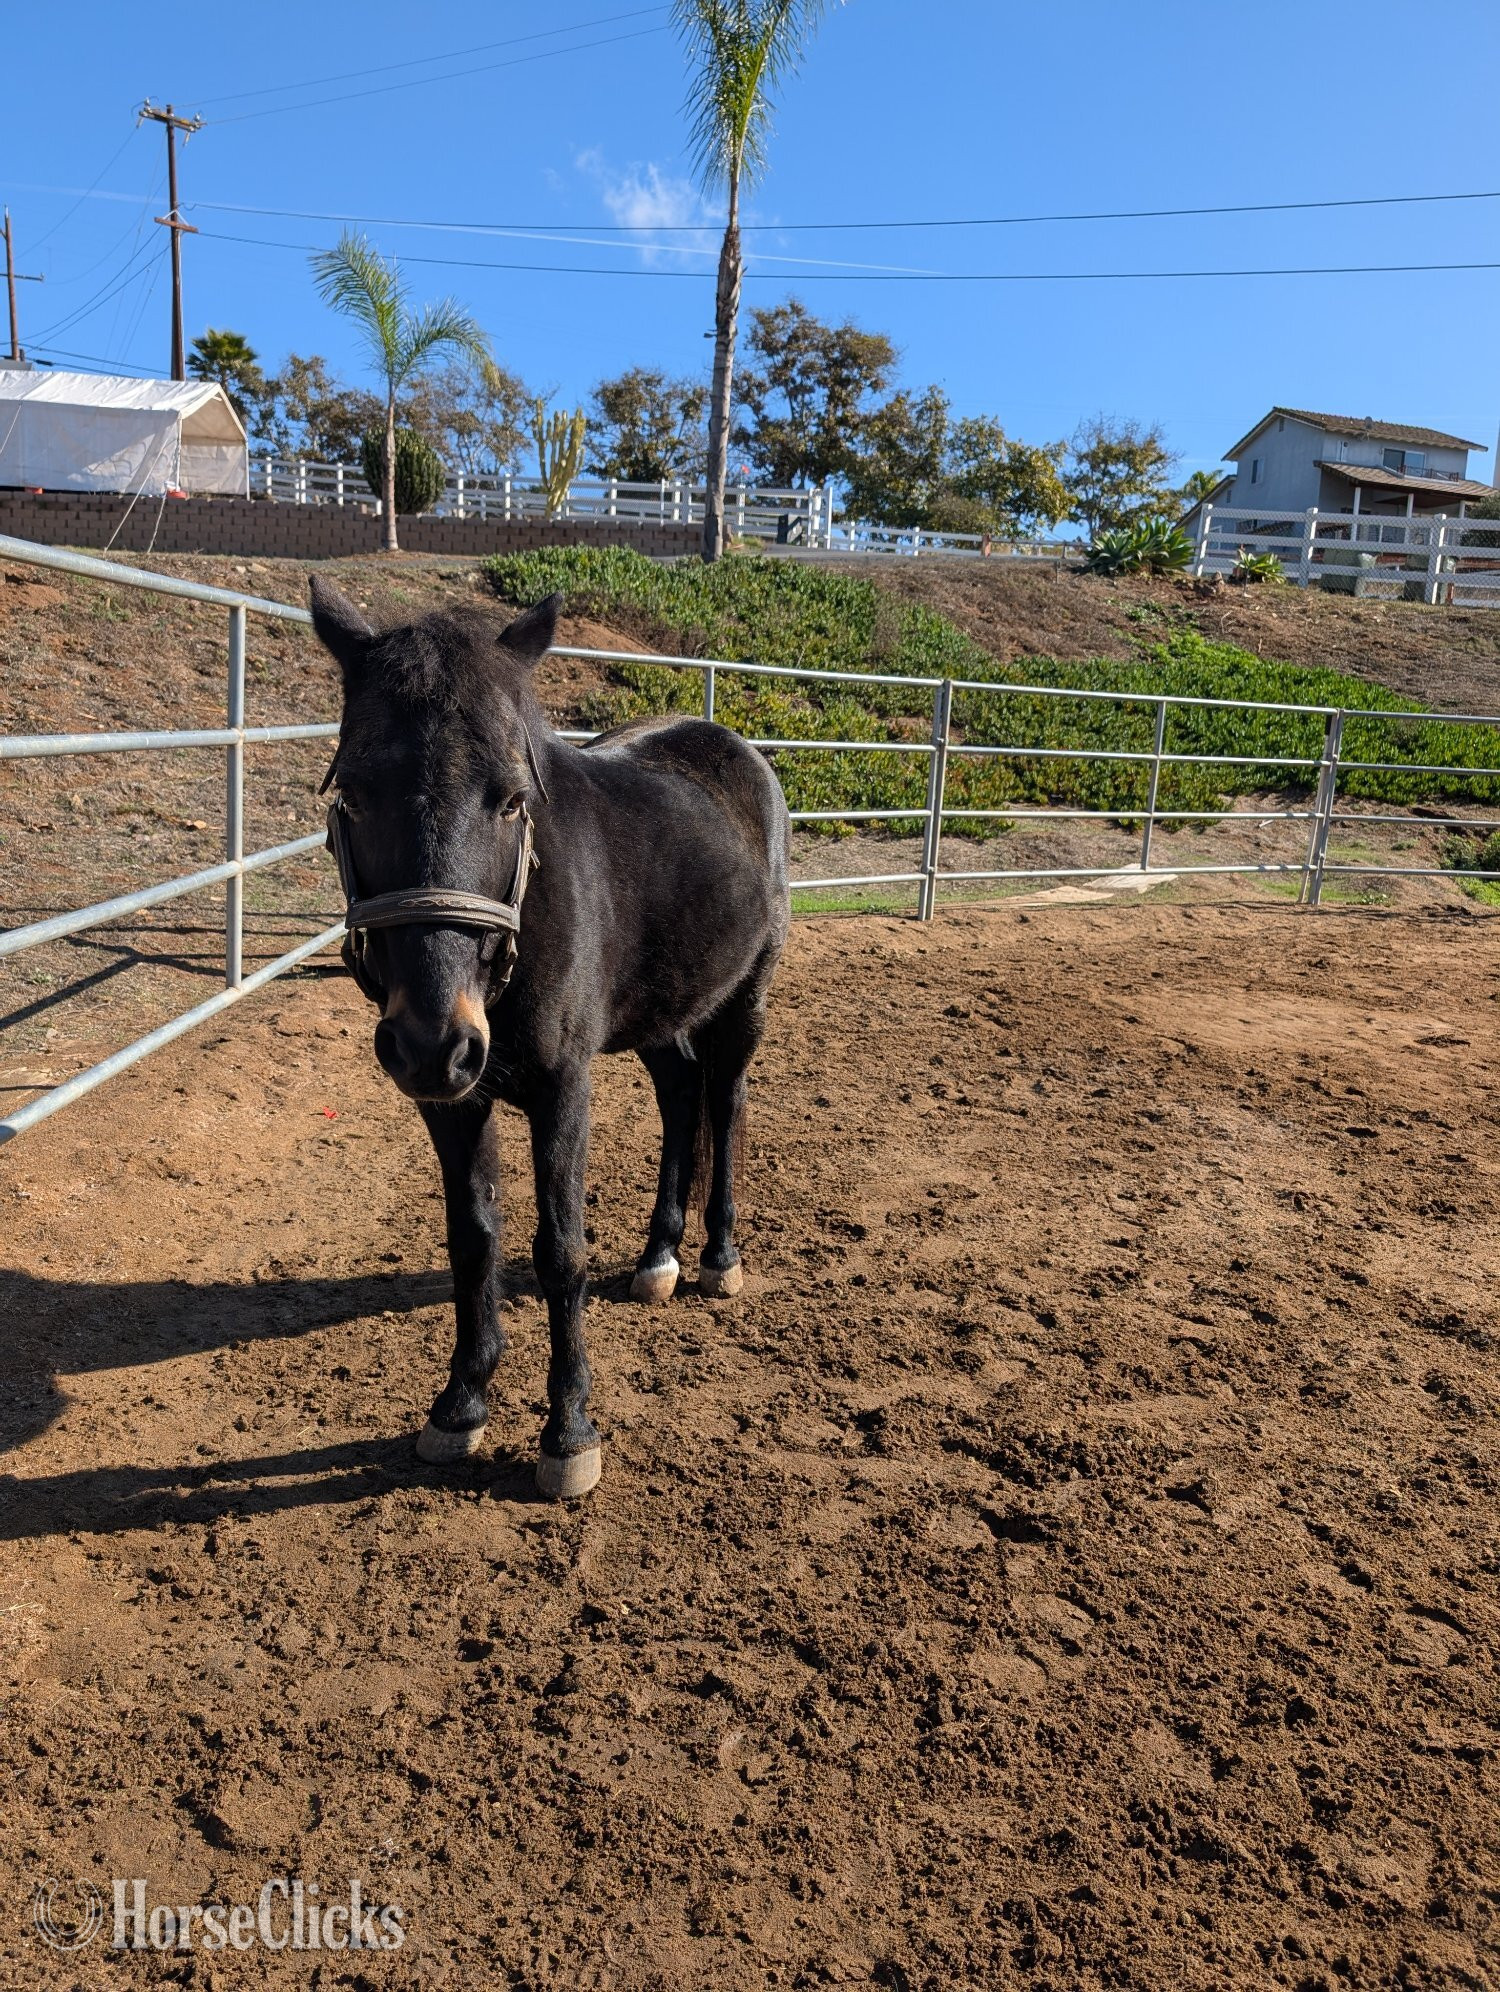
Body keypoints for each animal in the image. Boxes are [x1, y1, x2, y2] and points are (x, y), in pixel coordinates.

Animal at [308, 577, 791, 1500]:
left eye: (510, 797)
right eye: (351, 792)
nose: (433, 1039)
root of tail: (736, 750)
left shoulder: (563, 1085)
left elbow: (561, 1249)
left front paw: (568, 1433)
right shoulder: (452, 1101)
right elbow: (474, 1240)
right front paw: (461, 1403)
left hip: (743, 999)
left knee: (727, 1101)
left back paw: (717, 1255)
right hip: (657, 1016)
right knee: (681, 1097)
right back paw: (658, 1258)